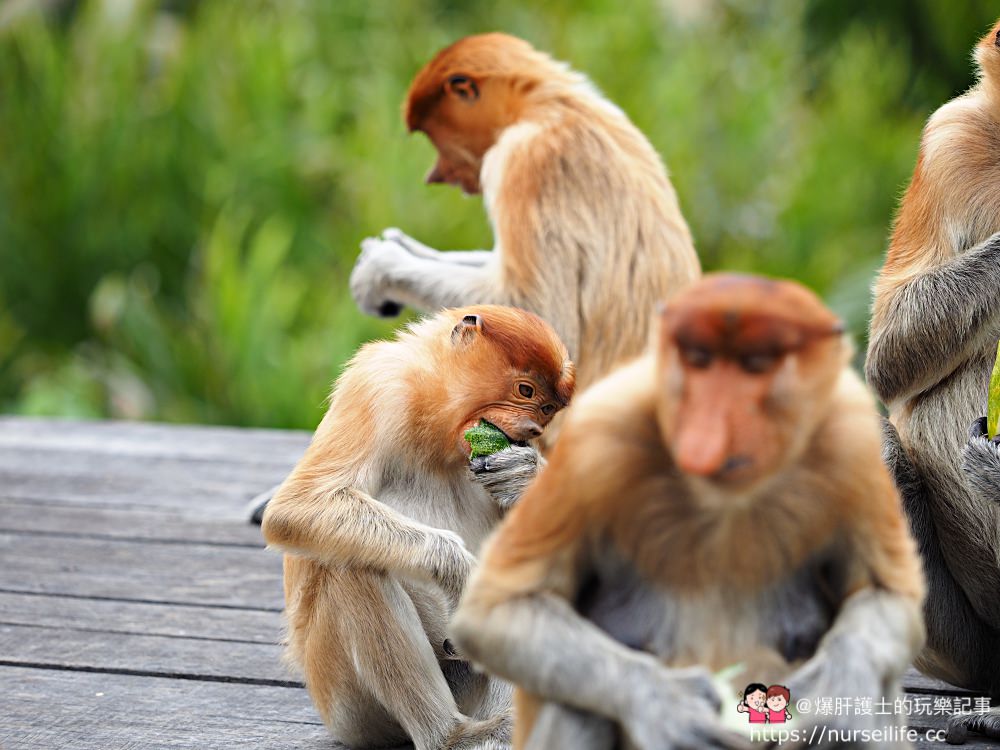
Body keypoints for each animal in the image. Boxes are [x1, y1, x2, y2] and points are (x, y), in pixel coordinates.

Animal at [262, 306, 576, 750]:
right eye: (525, 390)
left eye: (548, 409)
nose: (533, 433)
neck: (438, 431)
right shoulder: (377, 387)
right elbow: (298, 506)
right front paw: (461, 574)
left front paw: (523, 473)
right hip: (350, 709)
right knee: (352, 566)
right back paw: (453, 735)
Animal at [348, 33, 700, 434]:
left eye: (433, 134)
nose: (434, 175)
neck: (546, 102)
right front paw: (400, 246)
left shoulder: (523, 159)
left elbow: (536, 311)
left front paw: (377, 268)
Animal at [452, 276, 920, 750]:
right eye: (699, 362)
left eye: (755, 367)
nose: (712, 420)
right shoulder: (604, 431)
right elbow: (499, 610)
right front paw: (665, 706)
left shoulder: (852, 439)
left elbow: (884, 595)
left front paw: (836, 692)